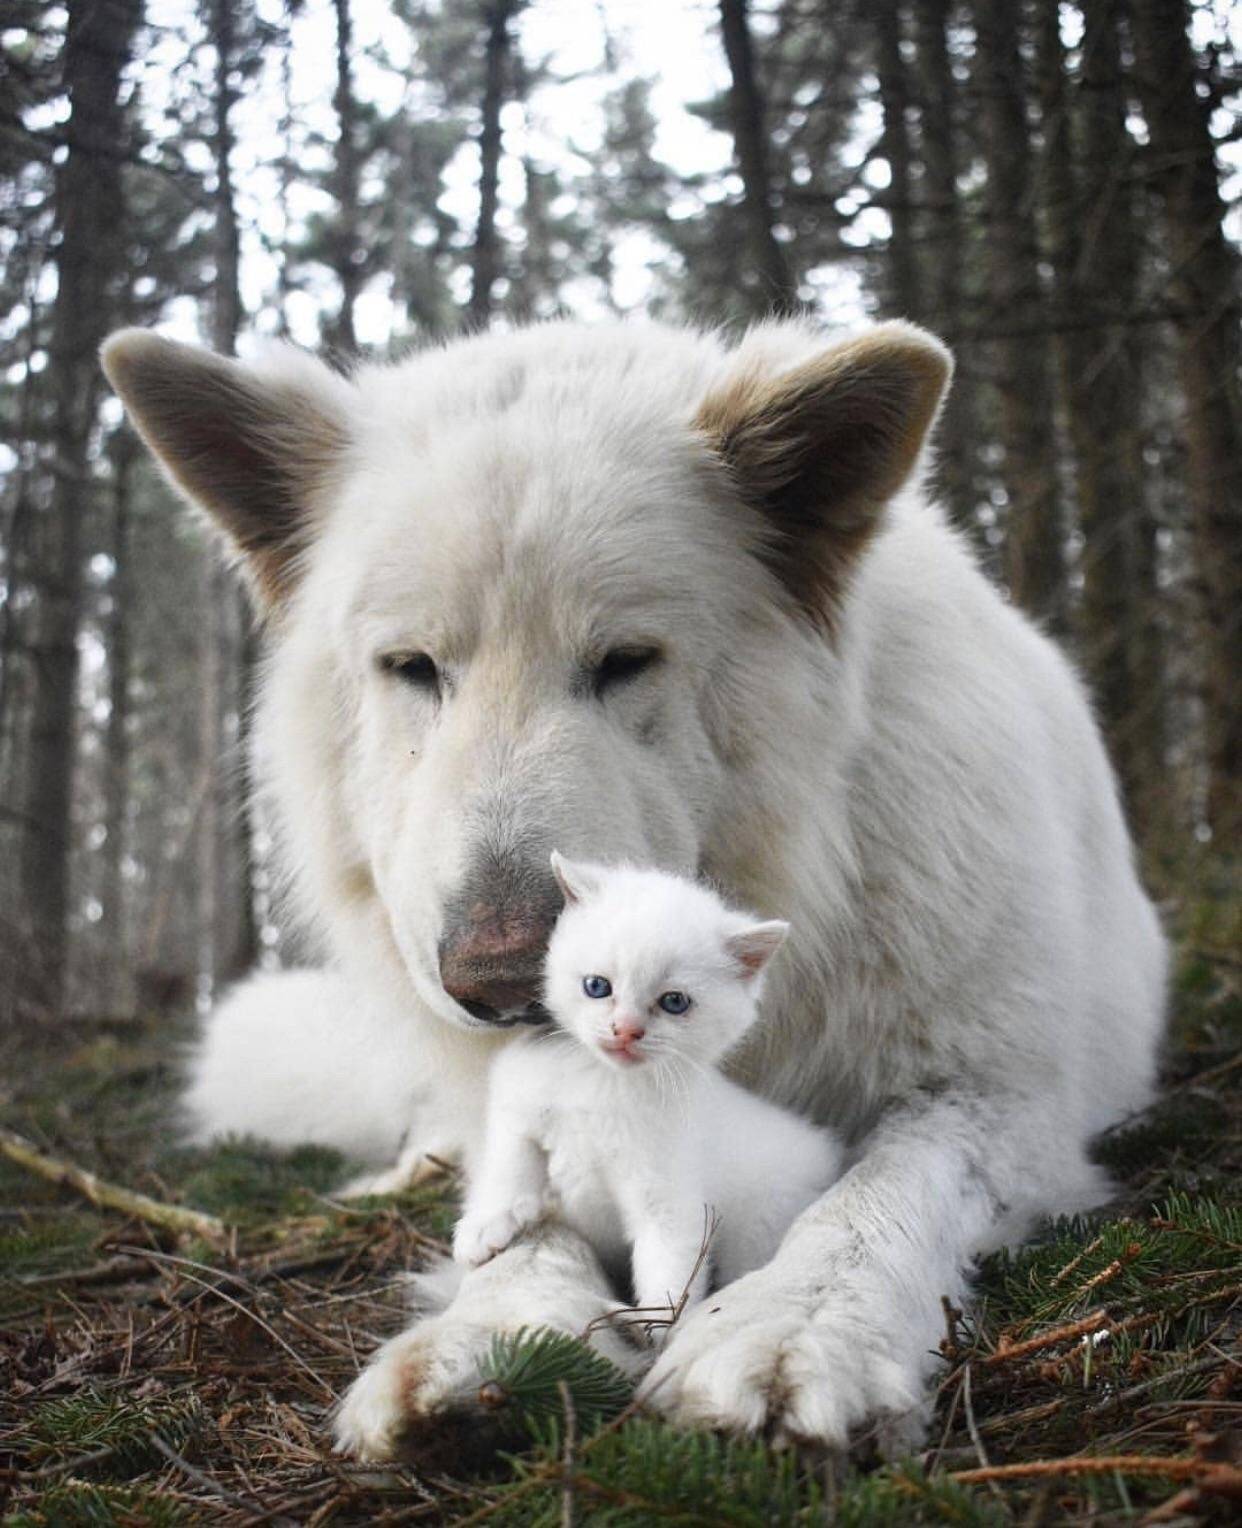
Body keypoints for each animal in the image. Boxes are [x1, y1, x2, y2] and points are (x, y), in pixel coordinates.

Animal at [449, 855, 843, 1332]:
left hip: (764, 1219)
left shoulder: (669, 1192)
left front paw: (658, 1323)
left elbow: (668, 1252)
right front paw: (486, 1225)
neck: (604, 1082)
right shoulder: (517, 1101)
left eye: (674, 1002)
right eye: (597, 986)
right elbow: (509, 1162)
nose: (626, 1031)